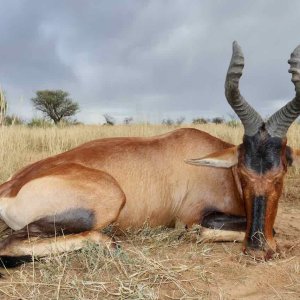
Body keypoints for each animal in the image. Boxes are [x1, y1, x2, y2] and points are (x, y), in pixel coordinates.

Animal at [0, 41, 300, 268]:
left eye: (281, 172)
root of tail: (10, 186)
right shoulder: (195, 215)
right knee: (10, 243)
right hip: (106, 202)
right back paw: (107, 242)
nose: (258, 249)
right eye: (242, 171)